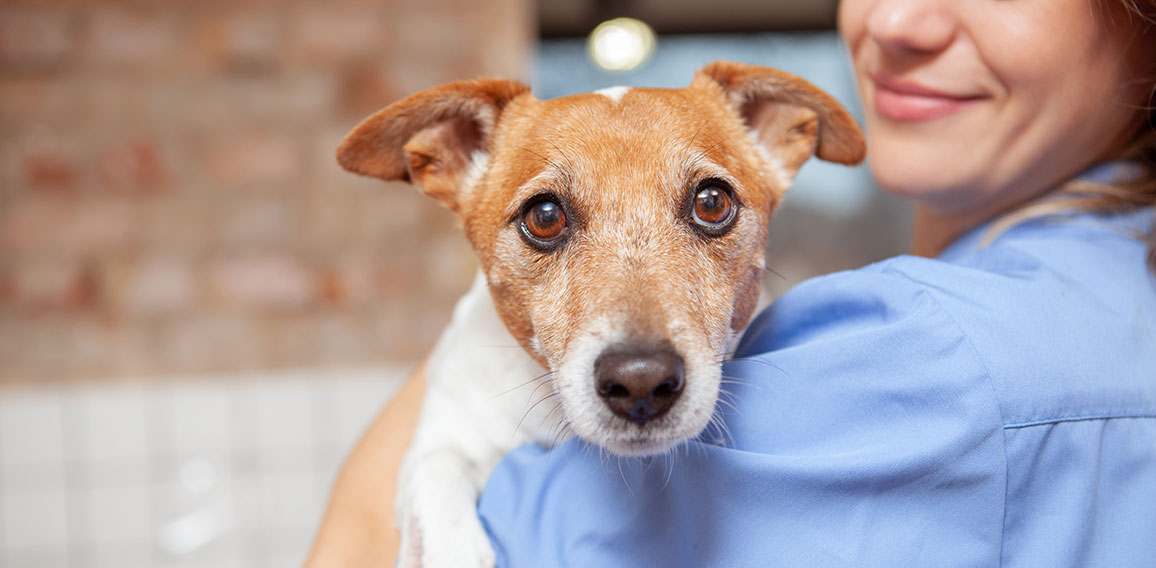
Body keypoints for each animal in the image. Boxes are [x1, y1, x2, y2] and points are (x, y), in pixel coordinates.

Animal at [337, 60, 864, 566]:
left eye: (713, 202)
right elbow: (437, 472)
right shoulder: (442, 433)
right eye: (544, 216)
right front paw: (451, 551)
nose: (640, 382)